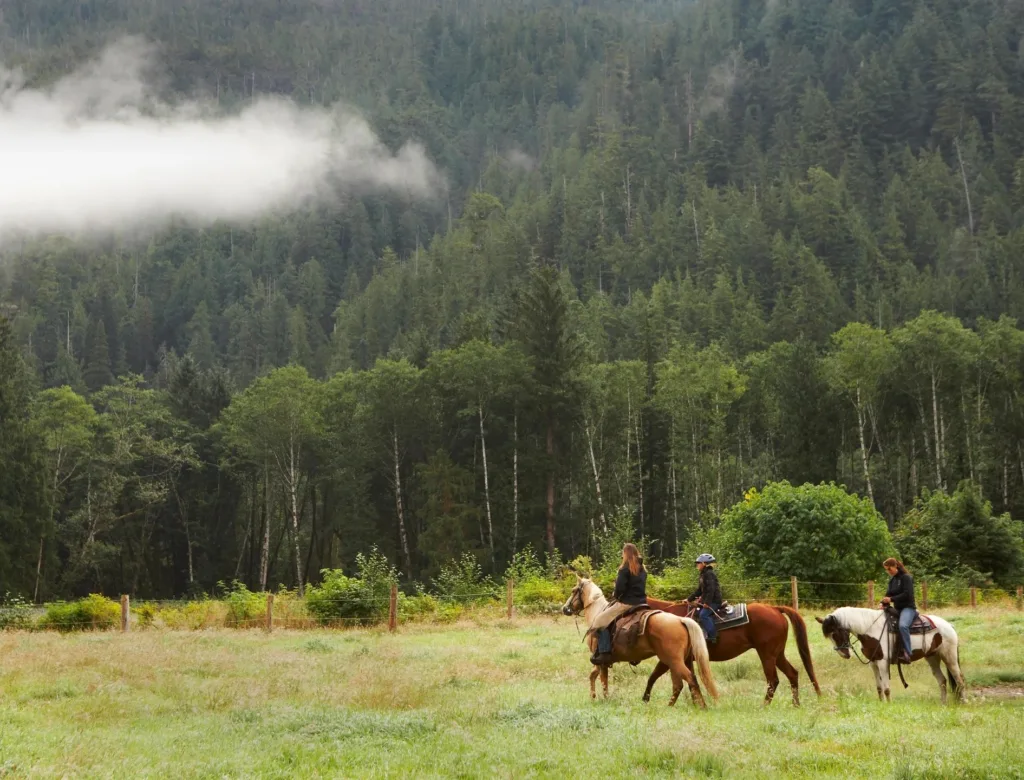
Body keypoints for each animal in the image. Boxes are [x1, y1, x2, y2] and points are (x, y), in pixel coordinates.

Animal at [561, 573, 720, 708]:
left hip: (673, 661)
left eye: (573, 590)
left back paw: (700, 706)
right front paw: (593, 696)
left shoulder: (601, 661)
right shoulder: (600, 663)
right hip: (678, 661)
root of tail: (680, 620)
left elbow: (603, 681)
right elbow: (593, 676)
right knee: (680, 684)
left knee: (689, 679)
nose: (565, 609)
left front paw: (604, 700)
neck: (597, 614)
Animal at [643, 593, 819, 704]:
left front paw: (646, 700)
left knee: (773, 680)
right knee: (792, 674)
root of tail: (775, 609)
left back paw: (764, 706)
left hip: (767, 655)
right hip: (778, 654)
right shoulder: (685, 660)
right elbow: (690, 682)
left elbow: (654, 676)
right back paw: (796, 704)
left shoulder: (668, 658)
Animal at [815, 605, 966, 700]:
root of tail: (949, 625)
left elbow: (887, 688)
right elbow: (879, 688)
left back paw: (964, 702)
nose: (844, 654)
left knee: (959, 680)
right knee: (942, 681)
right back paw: (943, 703)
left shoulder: (883, 662)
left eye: (835, 633)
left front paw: (888, 704)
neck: (871, 628)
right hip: (932, 657)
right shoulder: (873, 663)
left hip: (949, 656)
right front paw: (882, 703)